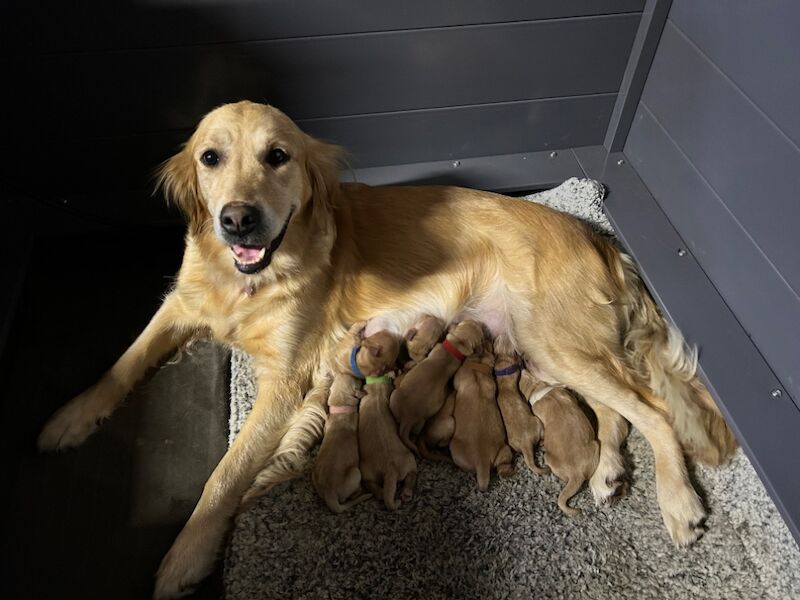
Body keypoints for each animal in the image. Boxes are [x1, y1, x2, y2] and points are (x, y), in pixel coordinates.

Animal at [358, 330, 418, 508]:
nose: (389, 331)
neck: (377, 381)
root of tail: (391, 471)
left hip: (370, 470)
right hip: (407, 461)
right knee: (410, 477)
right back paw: (405, 493)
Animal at [446, 340, 516, 490]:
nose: (487, 338)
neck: (478, 365)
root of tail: (482, 462)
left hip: (455, 449)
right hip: (505, 450)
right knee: (503, 465)